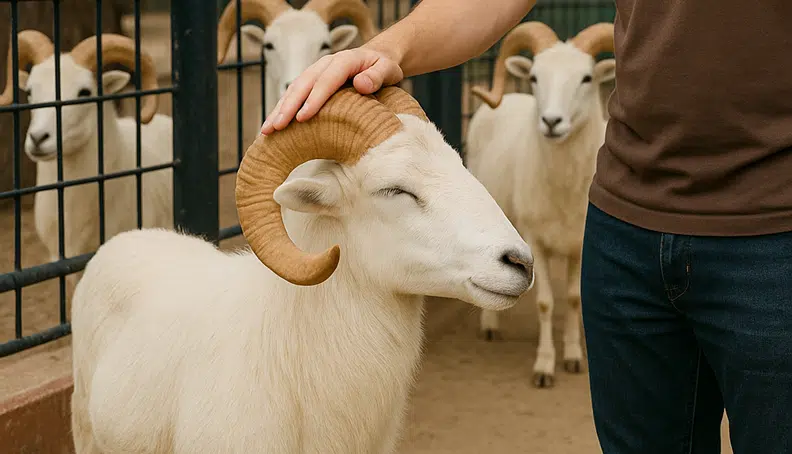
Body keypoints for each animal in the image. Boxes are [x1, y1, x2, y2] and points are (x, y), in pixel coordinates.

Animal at [466, 22, 616, 388]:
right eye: (535, 77)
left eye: (587, 78)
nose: (551, 122)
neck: (563, 190)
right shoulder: (535, 242)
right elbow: (547, 303)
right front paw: (545, 368)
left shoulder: (579, 244)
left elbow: (574, 299)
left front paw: (574, 357)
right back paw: (489, 326)